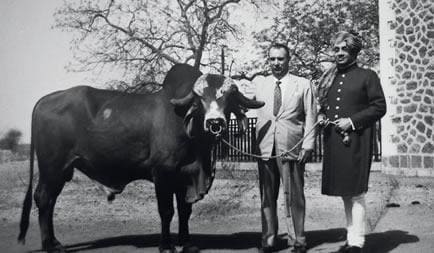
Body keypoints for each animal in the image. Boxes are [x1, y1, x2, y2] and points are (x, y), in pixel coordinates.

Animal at [17, 64, 264, 252]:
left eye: (228, 97)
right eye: (200, 98)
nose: (215, 123)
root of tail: (44, 100)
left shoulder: (184, 177)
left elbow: (185, 211)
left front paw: (187, 243)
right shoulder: (162, 174)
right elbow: (167, 211)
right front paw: (166, 246)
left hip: (61, 171)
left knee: (49, 200)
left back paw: (54, 242)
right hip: (52, 167)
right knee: (44, 198)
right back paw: (49, 245)